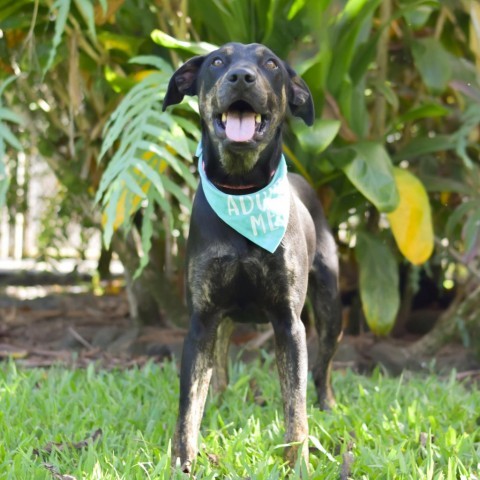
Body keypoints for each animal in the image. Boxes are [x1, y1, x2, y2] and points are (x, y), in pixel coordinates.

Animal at [163, 42, 344, 472]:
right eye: (216, 61)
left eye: (271, 64)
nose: (242, 77)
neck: (243, 190)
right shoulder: (201, 320)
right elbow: (188, 406)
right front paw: (183, 463)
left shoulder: (289, 323)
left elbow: (296, 407)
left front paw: (298, 464)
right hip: (224, 316)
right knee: (221, 360)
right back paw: (219, 400)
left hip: (330, 306)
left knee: (323, 369)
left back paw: (329, 405)